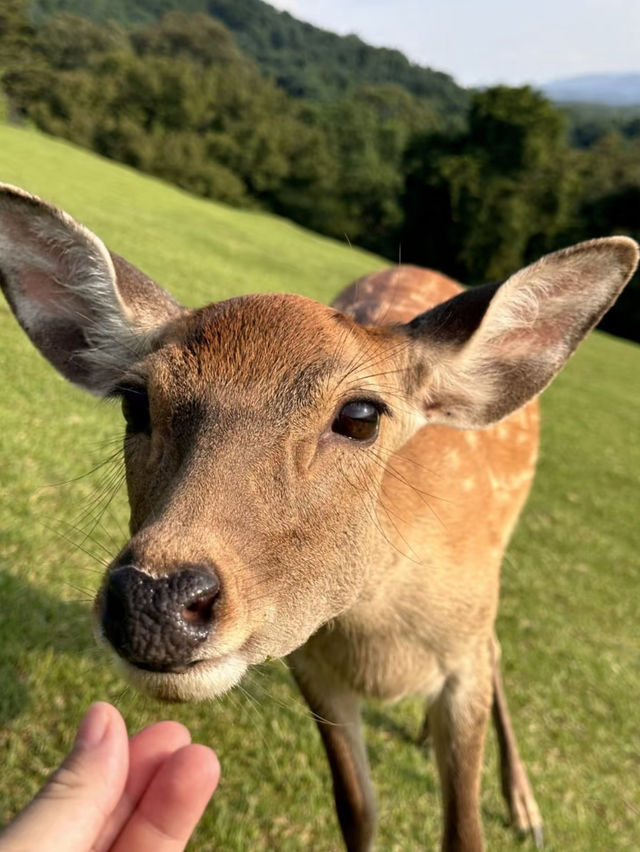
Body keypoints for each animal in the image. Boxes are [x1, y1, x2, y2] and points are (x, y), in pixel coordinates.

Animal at [1, 185, 636, 852]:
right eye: (134, 401)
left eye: (360, 415)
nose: (155, 601)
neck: (381, 637)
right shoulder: (312, 666)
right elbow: (356, 809)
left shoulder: (462, 653)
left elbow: (464, 831)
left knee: (495, 644)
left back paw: (524, 807)